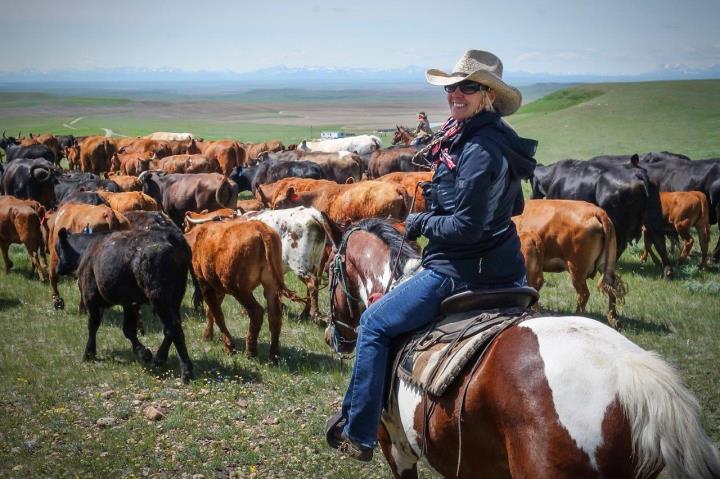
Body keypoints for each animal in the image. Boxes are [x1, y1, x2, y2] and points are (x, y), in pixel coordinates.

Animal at [54, 225, 194, 382]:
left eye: (58, 249)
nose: (57, 268)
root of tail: (168, 235)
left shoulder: (91, 298)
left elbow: (93, 326)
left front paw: (89, 354)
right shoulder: (130, 303)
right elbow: (128, 330)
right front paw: (144, 353)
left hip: (159, 296)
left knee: (173, 327)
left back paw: (186, 371)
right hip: (175, 297)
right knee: (172, 327)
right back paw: (159, 359)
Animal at [184, 219, 286, 362]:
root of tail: (260, 227)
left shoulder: (205, 284)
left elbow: (217, 314)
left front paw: (229, 346)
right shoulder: (217, 288)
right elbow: (210, 311)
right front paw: (208, 336)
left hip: (239, 289)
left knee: (256, 312)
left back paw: (250, 351)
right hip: (271, 285)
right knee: (275, 315)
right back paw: (274, 356)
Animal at [512, 200, 624, 330]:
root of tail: (596, 211)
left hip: (576, 268)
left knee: (583, 294)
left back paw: (577, 317)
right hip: (606, 265)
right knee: (612, 288)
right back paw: (614, 320)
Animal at [528, 156, 676, 278]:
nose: (530, 198)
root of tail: (637, 172)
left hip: (615, 221)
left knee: (619, 245)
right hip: (652, 216)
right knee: (659, 241)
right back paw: (668, 272)